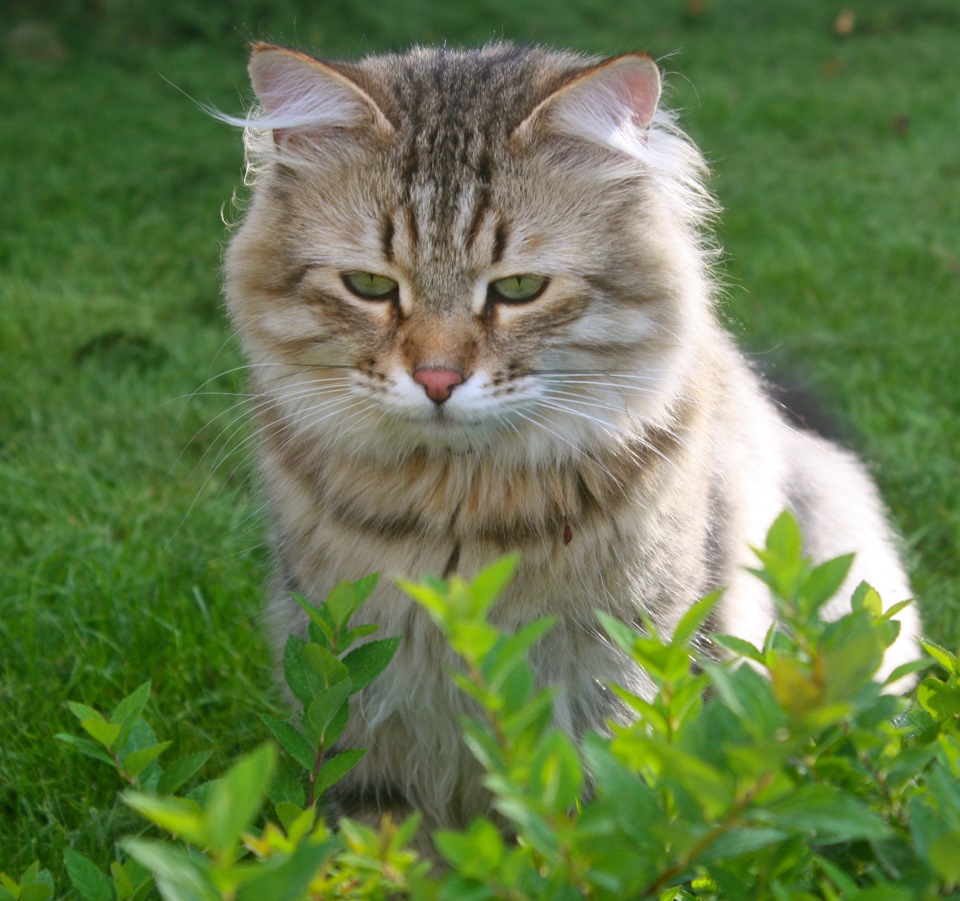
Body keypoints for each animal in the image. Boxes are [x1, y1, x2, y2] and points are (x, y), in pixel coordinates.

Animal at [219, 40, 924, 844]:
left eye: (519, 288)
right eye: (369, 285)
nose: (436, 380)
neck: (460, 516)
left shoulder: (621, 675)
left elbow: (595, 824)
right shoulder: (358, 694)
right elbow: (387, 844)